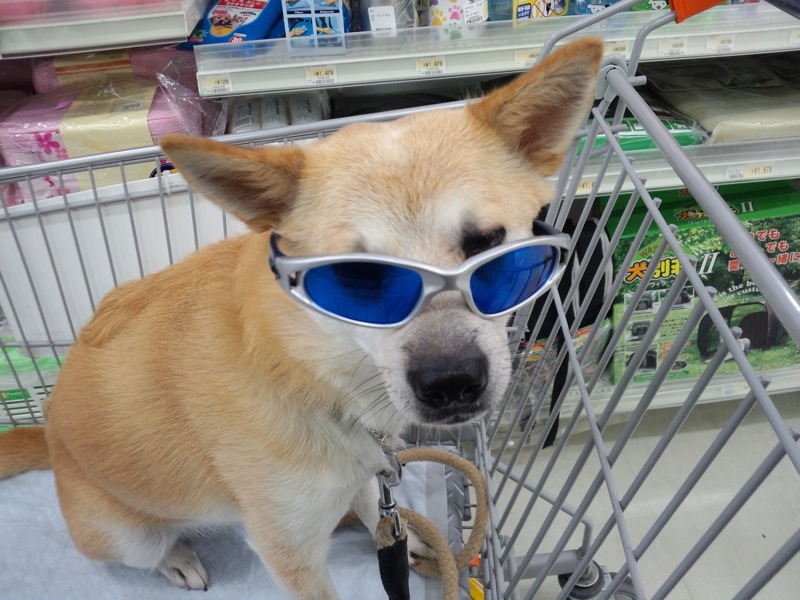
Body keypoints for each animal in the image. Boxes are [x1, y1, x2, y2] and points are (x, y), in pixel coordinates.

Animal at [0, 38, 602, 599]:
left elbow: (376, 506)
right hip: (128, 534)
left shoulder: (367, 468)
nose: (452, 382)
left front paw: (409, 540)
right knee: (151, 548)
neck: (314, 365)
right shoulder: (287, 549)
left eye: (489, 245)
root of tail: (48, 435)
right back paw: (177, 558)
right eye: (357, 277)